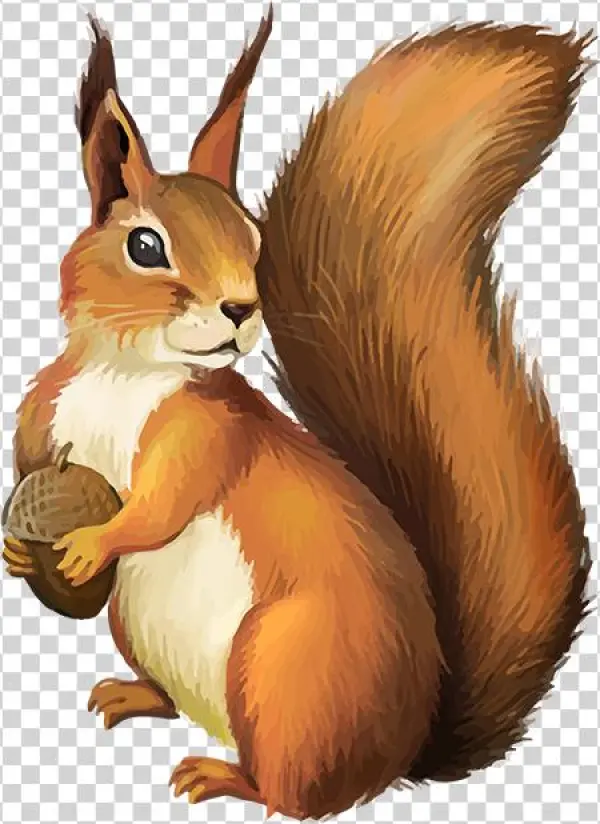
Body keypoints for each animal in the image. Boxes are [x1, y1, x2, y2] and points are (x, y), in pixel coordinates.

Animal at [3, 6, 593, 820]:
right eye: (145, 245)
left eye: (253, 238)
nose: (242, 307)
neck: (125, 371)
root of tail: (404, 752)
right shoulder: (42, 411)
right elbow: (28, 466)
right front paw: (18, 549)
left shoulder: (208, 435)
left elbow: (162, 505)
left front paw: (95, 541)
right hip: (149, 630)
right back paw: (134, 696)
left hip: (283, 671)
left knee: (292, 795)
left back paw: (223, 777)